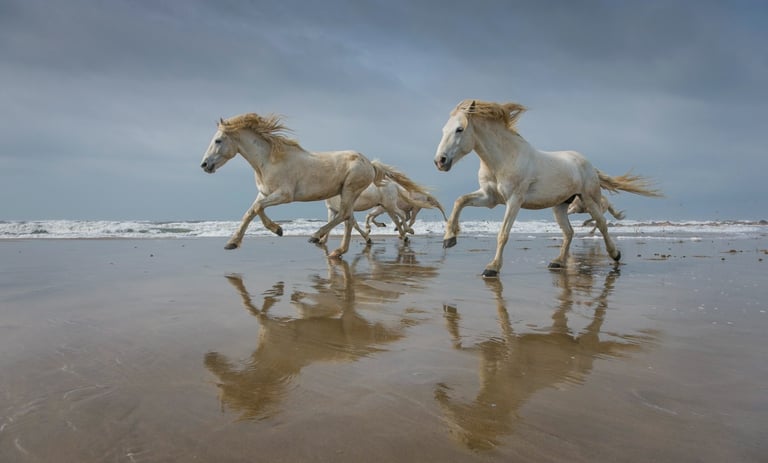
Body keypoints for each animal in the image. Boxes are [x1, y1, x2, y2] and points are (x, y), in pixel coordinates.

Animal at [200, 112, 403, 258]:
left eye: (218, 140)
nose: (204, 165)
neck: (268, 161)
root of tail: (370, 163)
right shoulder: (264, 193)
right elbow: (250, 212)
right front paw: (232, 243)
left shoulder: (284, 195)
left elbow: (257, 208)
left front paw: (278, 230)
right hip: (348, 193)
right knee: (348, 218)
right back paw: (338, 251)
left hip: (350, 190)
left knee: (345, 216)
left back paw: (315, 237)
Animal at [433, 99, 662, 277]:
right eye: (443, 130)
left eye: (459, 129)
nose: (440, 161)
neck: (503, 159)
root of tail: (588, 164)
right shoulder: (489, 198)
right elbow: (460, 200)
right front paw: (449, 239)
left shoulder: (514, 200)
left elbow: (503, 234)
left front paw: (492, 268)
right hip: (560, 206)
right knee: (569, 232)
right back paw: (557, 262)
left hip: (589, 199)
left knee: (602, 224)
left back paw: (615, 255)